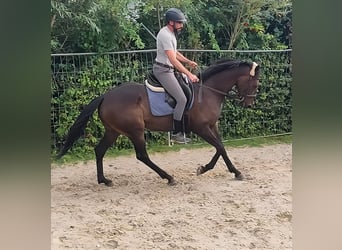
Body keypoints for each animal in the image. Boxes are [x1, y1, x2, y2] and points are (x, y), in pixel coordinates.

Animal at [56, 59, 260, 186]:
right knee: (142, 156)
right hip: (136, 130)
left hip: (114, 131)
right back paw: (168, 177)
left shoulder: (211, 126)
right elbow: (220, 147)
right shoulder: (201, 128)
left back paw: (104, 180)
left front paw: (212, 169)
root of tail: (106, 96)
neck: (208, 91)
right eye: (255, 84)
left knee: (99, 150)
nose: (249, 104)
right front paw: (226, 171)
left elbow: (221, 148)